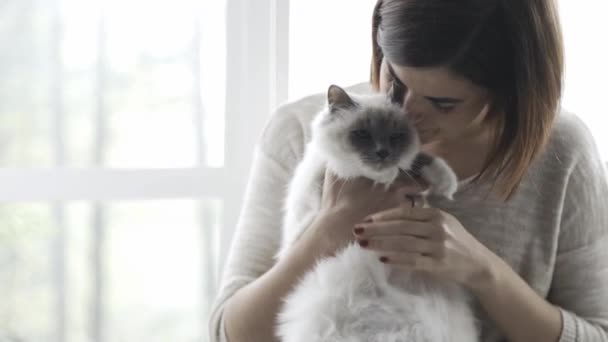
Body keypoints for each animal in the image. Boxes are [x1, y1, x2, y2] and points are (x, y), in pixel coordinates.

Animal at [276, 85, 480, 342]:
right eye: (362, 134)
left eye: (395, 137)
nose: (382, 153)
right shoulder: (327, 172)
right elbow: (360, 169)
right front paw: (388, 176)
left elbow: (417, 160)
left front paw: (445, 183)